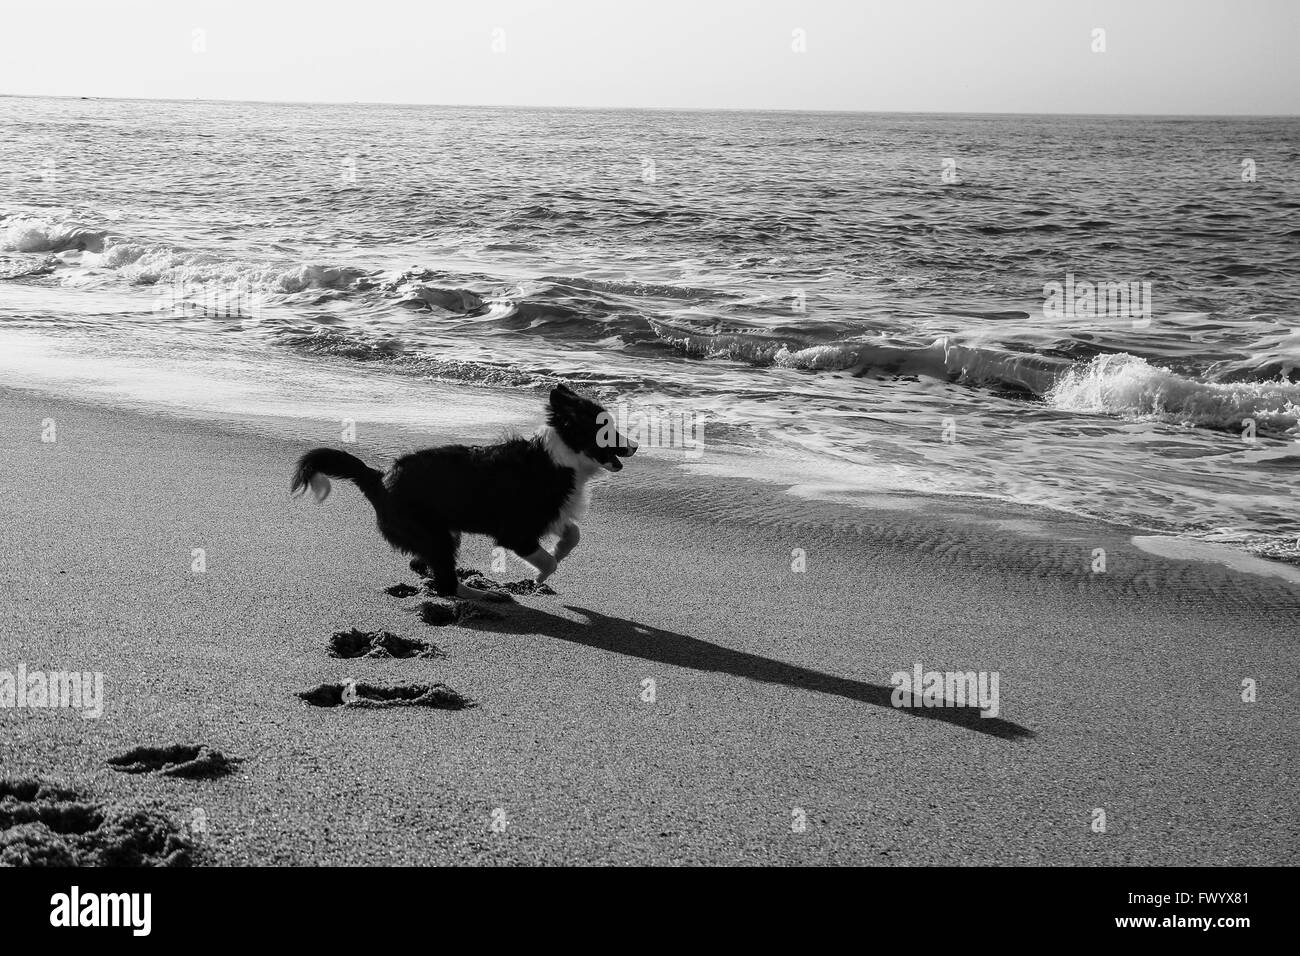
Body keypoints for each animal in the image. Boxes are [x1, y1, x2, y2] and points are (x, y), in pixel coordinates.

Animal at [289, 385, 634, 600]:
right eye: (606, 431)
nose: (634, 446)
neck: (562, 456)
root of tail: (380, 477)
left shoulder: (550, 513)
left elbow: (573, 533)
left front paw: (560, 549)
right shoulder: (516, 533)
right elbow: (548, 562)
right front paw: (537, 579)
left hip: (442, 534)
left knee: (423, 566)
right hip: (436, 536)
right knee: (446, 583)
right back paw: (483, 593)